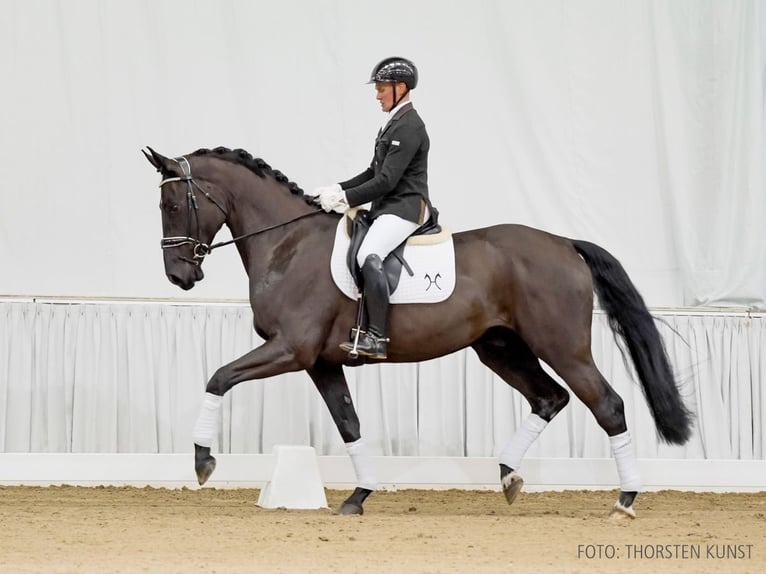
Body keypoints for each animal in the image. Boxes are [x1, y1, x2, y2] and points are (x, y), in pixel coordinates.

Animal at [144, 146, 696, 520]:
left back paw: (624, 500)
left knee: (607, 405)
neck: (288, 243)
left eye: (172, 206)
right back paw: (509, 475)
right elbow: (349, 423)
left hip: (563, 346)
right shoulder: (321, 362)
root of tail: (563, 243)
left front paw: (202, 460)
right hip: (500, 348)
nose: (179, 276)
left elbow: (218, 377)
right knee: (549, 398)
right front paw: (359, 496)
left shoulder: (290, 349)